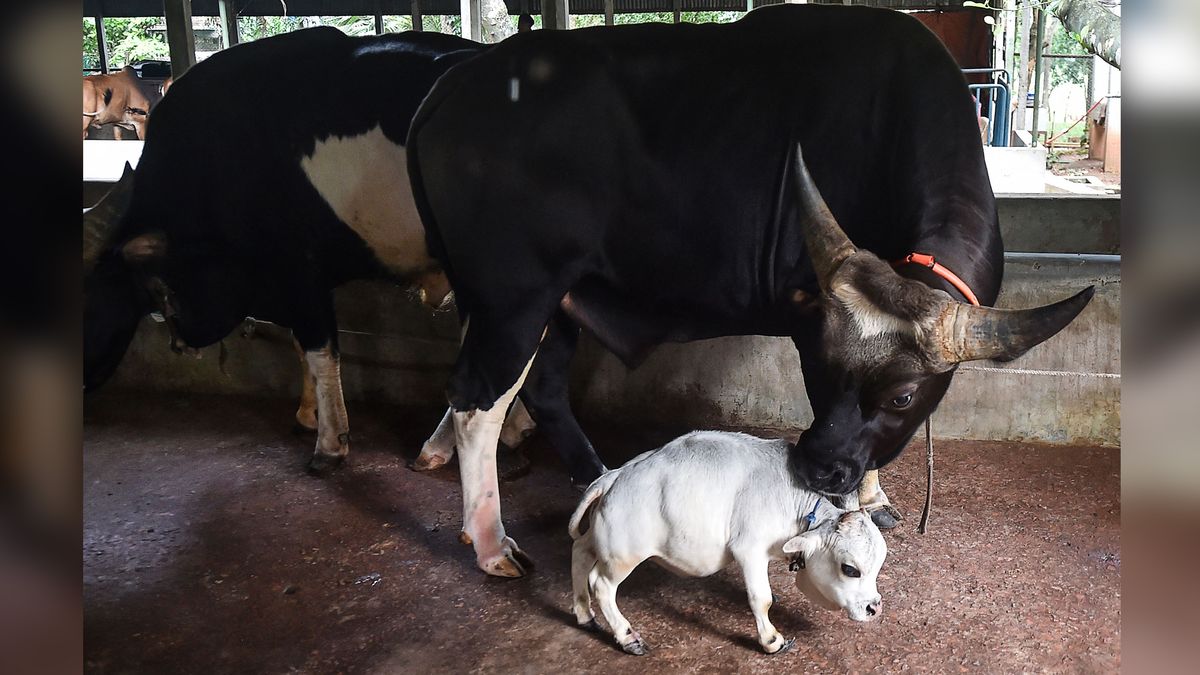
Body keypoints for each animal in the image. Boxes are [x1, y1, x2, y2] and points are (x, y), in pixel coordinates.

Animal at [81, 26, 585, 475]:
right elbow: (300, 346)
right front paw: (308, 416)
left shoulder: (297, 268)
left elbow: (320, 349)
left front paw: (329, 443)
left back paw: (442, 447)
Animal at [408, 3, 1094, 571]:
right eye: (819, 368)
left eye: (903, 396)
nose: (817, 466)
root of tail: (453, 82)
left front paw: (872, 493)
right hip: (514, 300)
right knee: (477, 401)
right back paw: (492, 542)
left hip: (560, 301)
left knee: (543, 390)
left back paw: (597, 476)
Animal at [566, 427, 888, 653]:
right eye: (850, 569)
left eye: (877, 567)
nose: (874, 608)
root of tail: (614, 476)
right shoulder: (749, 549)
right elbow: (761, 598)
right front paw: (771, 640)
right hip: (623, 555)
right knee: (601, 585)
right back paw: (627, 637)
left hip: (600, 539)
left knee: (580, 552)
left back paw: (585, 614)